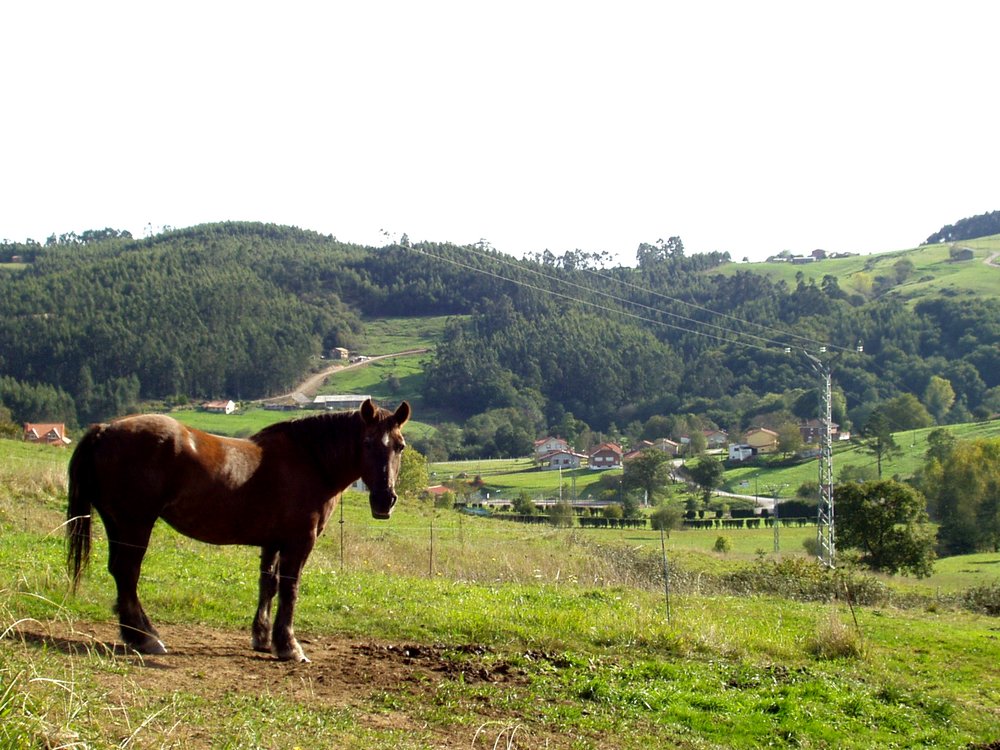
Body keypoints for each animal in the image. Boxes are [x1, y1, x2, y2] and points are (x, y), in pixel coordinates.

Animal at [67, 400, 410, 664]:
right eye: (366, 443)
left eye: (400, 446)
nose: (385, 500)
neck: (311, 461)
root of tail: (103, 430)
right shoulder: (299, 542)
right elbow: (290, 590)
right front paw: (289, 646)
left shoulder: (273, 542)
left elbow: (268, 585)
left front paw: (262, 638)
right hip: (135, 523)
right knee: (128, 573)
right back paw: (146, 637)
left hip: (117, 522)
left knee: (119, 572)